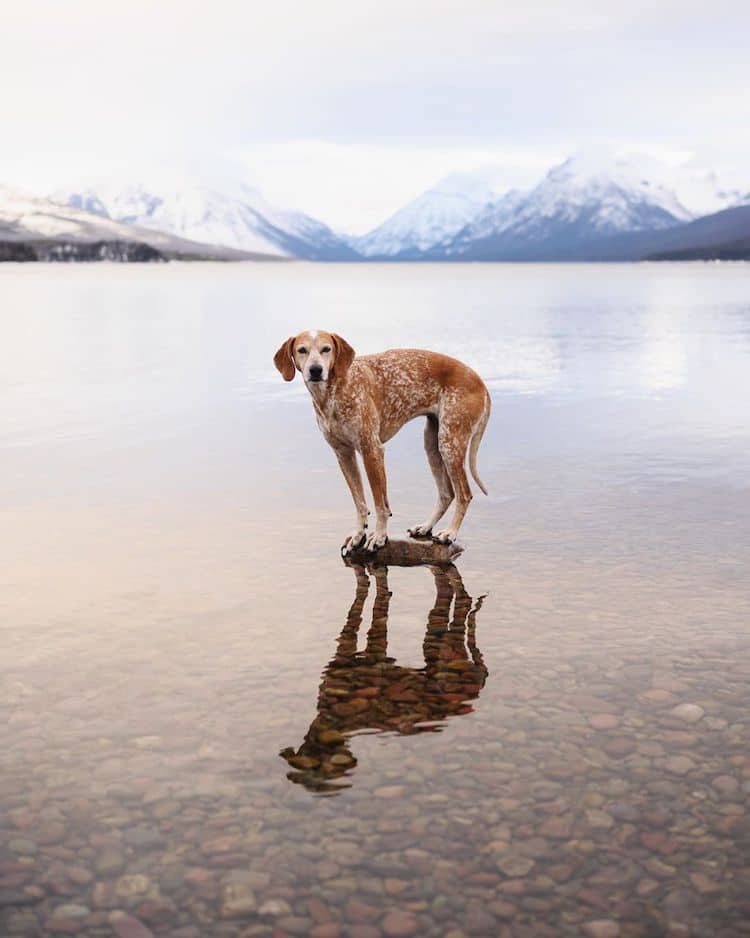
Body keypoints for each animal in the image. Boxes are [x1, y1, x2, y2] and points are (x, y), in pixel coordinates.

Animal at [274, 330, 490, 552]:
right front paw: (358, 534)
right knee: (447, 494)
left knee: (464, 494)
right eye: (302, 350)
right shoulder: (343, 454)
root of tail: (480, 381)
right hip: (433, 444)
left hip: (450, 444)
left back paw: (450, 533)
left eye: (326, 349)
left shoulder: (372, 450)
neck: (335, 392)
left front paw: (378, 536)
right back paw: (426, 527)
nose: (315, 370)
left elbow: (380, 504)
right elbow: (360, 502)